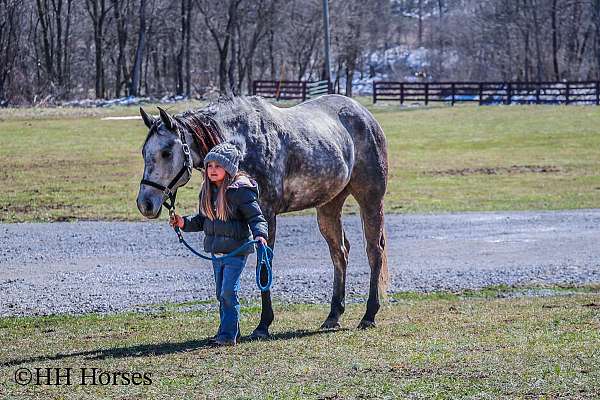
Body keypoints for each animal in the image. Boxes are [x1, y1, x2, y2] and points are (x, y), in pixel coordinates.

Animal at [136, 94, 390, 338]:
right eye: (144, 152)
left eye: (166, 152)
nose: (145, 204)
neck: (244, 145)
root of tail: (365, 115)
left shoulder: (266, 215)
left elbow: (264, 267)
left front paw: (263, 325)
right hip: (328, 207)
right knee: (339, 253)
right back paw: (334, 315)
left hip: (370, 200)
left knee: (374, 251)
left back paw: (369, 315)